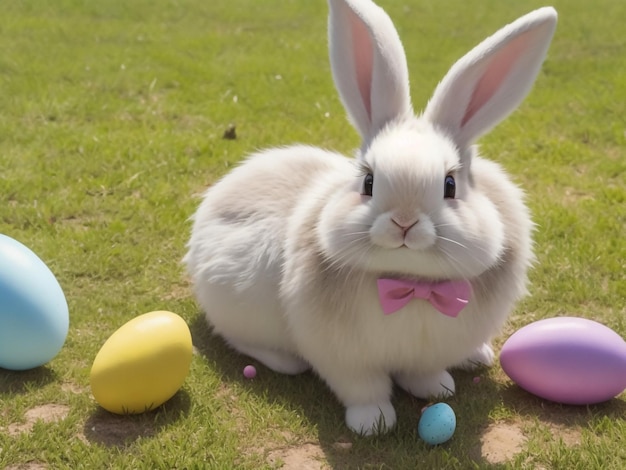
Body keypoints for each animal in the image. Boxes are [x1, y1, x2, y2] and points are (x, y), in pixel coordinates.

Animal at [185, 0, 556, 436]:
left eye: (450, 184)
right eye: (368, 181)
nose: (404, 223)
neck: (411, 284)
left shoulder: (430, 350)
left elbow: (424, 374)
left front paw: (437, 388)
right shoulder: (343, 358)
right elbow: (364, 389)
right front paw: (373, 423)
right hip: (239, 305)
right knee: (237, 336)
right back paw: (285, 360)